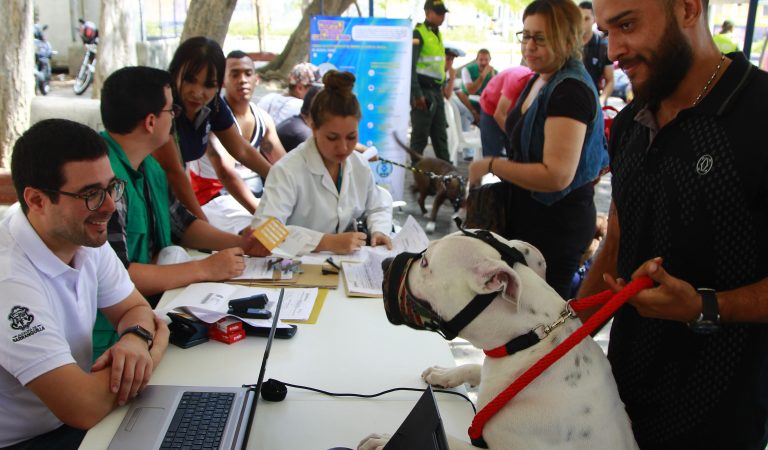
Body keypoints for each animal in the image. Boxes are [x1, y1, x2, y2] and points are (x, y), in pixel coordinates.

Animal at [360, 232, 636, 450]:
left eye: (426, 262)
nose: (384, 262)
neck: (530, 340)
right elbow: (473, 367)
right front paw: (444, 373)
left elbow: (452, 443)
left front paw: (387, 440)